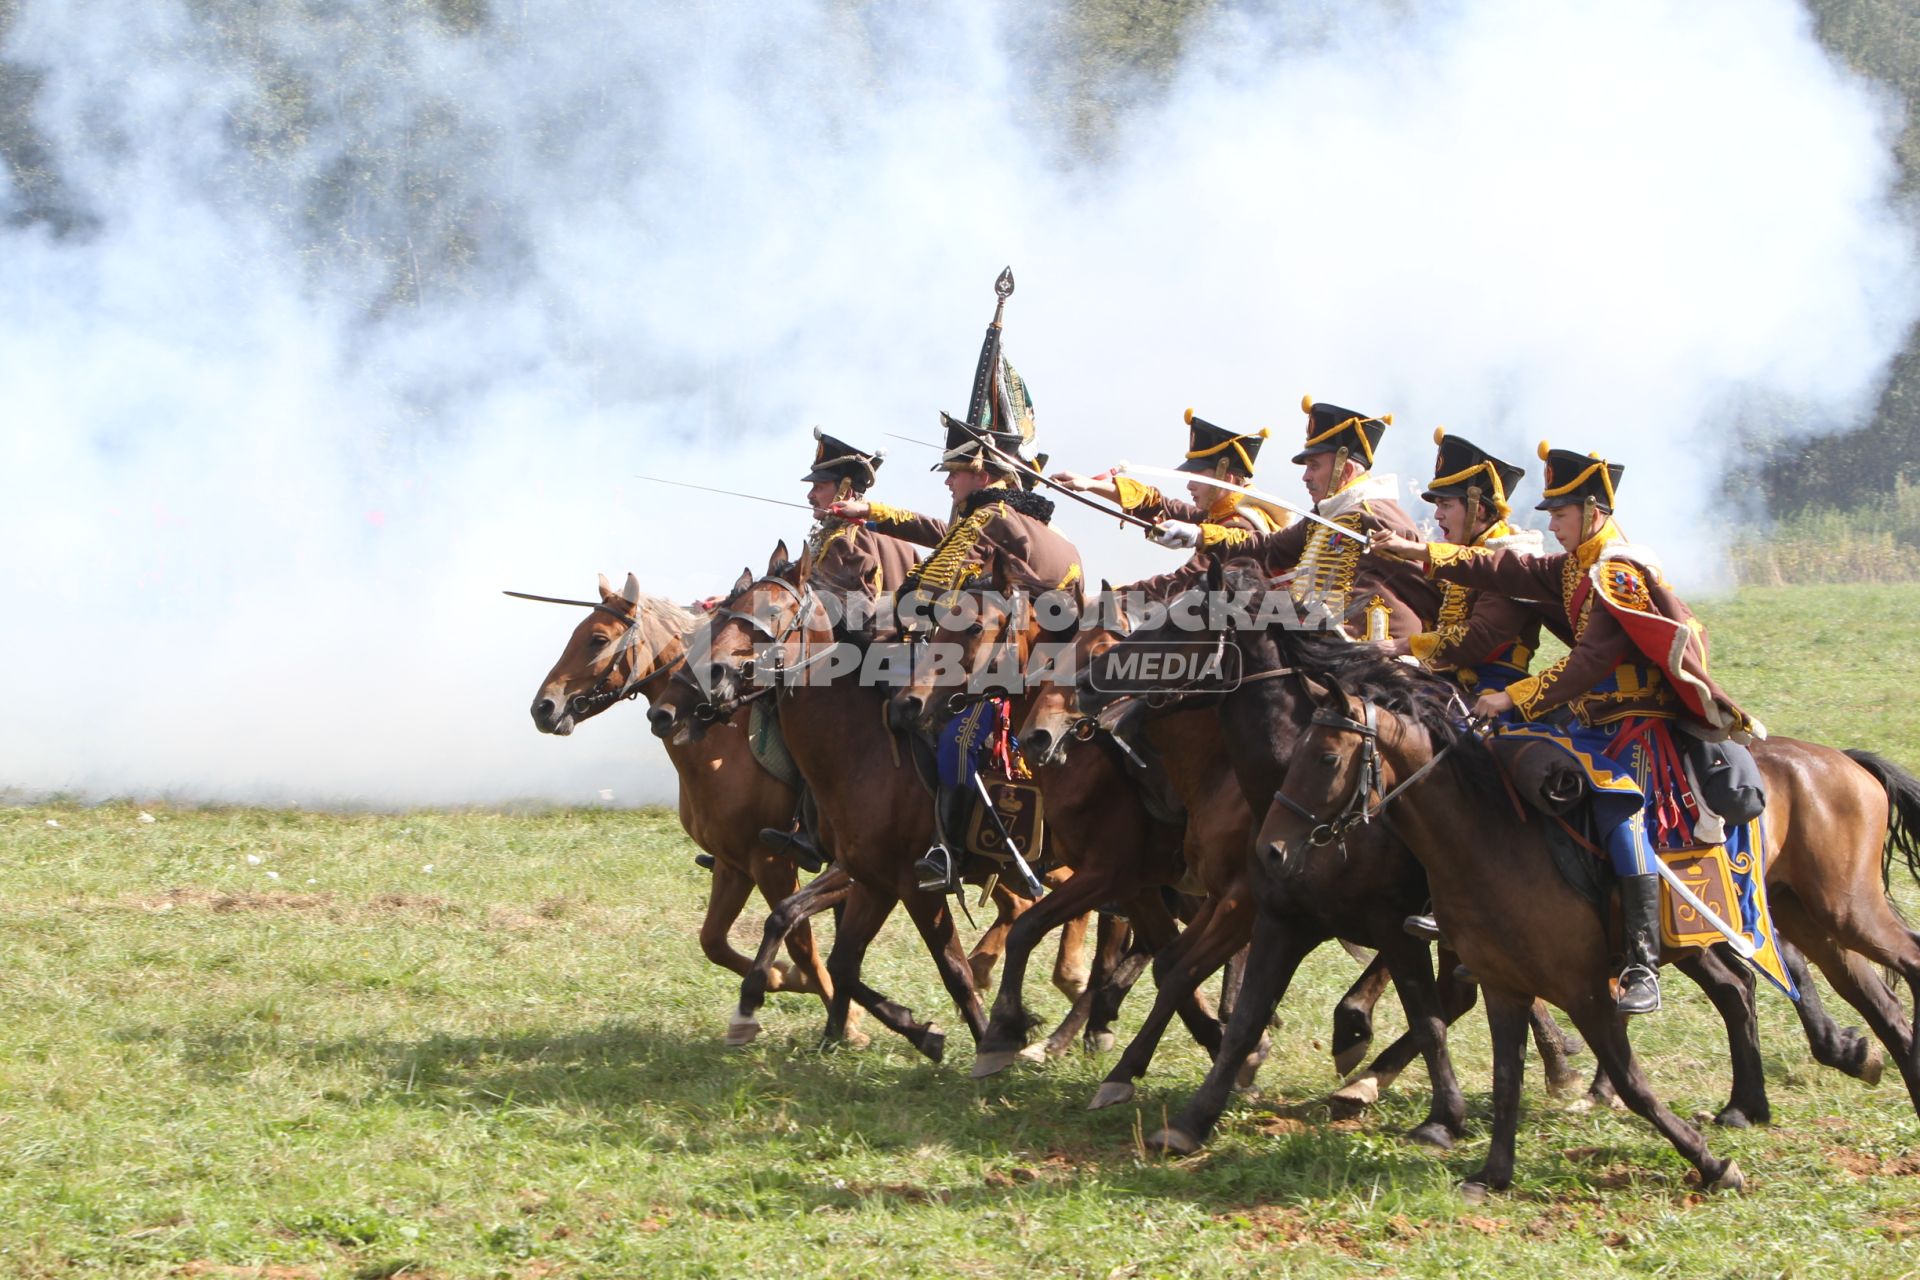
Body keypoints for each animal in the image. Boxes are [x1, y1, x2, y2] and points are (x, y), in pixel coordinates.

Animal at [533, 571, 848, 1028]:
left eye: (597, 639)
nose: (543, 707)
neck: (718, 746)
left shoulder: (772, 863)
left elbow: (800, 942)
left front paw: (850, 1022)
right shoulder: (734, 866)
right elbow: (712, 941)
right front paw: (780, 976)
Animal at [1228, 625, 1920, 1197]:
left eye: (1326, 758)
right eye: (1298, 752)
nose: (1272, 849)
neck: (1488, 836)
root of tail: (1845, 761)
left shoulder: (1583, 989)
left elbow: (1632, 1080)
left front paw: (1712, 1165)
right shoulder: (1504, 984)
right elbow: (1506, 1078)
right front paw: (1491, 1174)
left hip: (1845, 912)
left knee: (1892, 965)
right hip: (1808, 921)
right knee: (1853, 1001)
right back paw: (1786, 1090)